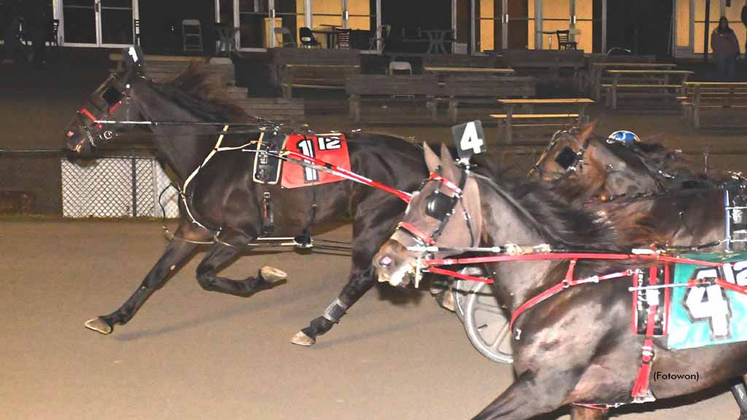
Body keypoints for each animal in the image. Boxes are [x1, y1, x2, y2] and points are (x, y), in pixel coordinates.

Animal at [376, 143, 747, 418]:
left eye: (434, 204)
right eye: (412, 197)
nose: (385, 259)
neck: (554, 282)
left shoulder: (541, 389)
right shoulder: (587, 401)